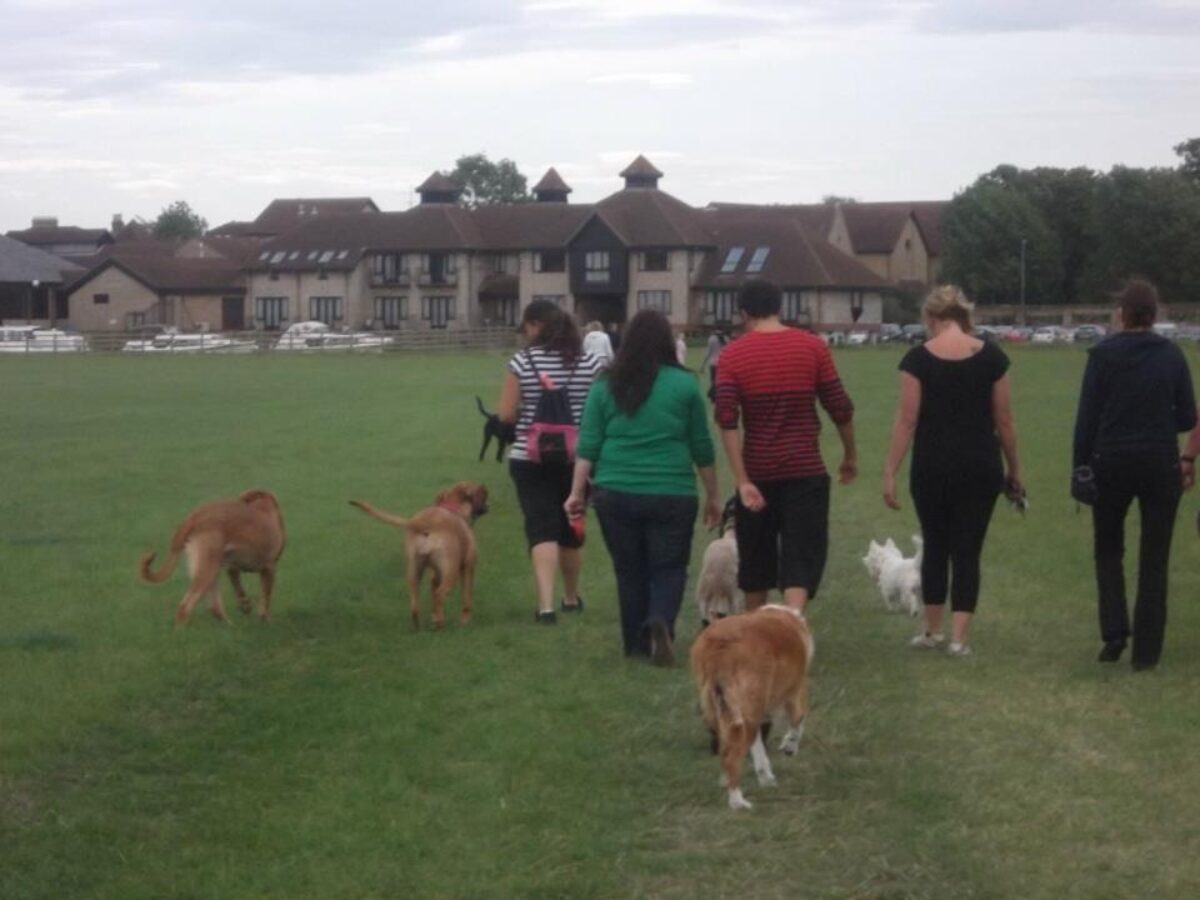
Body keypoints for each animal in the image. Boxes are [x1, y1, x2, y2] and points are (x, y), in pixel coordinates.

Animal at [140, 489, 285, 628]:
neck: (262, 505)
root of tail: (194, 517)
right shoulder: (269, 568)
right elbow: (266, 597)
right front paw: (265, 620)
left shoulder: (232, 569)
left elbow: (240, 590)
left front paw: (246, 606)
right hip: (207, 570)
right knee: (185, 608)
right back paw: (181, 633)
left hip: (211, 569)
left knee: (215, 608)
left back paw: (230, 627)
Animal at [350, 482, 489, 628]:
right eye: (484, 494)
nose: (488, 505)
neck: (454, 509)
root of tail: (424, 522)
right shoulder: (468, 567)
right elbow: (467, 597)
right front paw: (465, 621)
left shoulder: (435, 575)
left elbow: (433, 597)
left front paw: (434, 616)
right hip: (452, 572)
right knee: (440, 595)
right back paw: (440, 624)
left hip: (414, 571)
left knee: (415, 603)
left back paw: (420, 625)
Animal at [691, 607, 811, 811]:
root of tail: (721, 646)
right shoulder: (794, 692)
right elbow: (799, 721)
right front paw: (790, 746)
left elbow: (758, 750)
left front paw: (766, 777)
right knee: (731, 756)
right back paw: (737, 801)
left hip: (723, 709)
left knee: (727, 749)